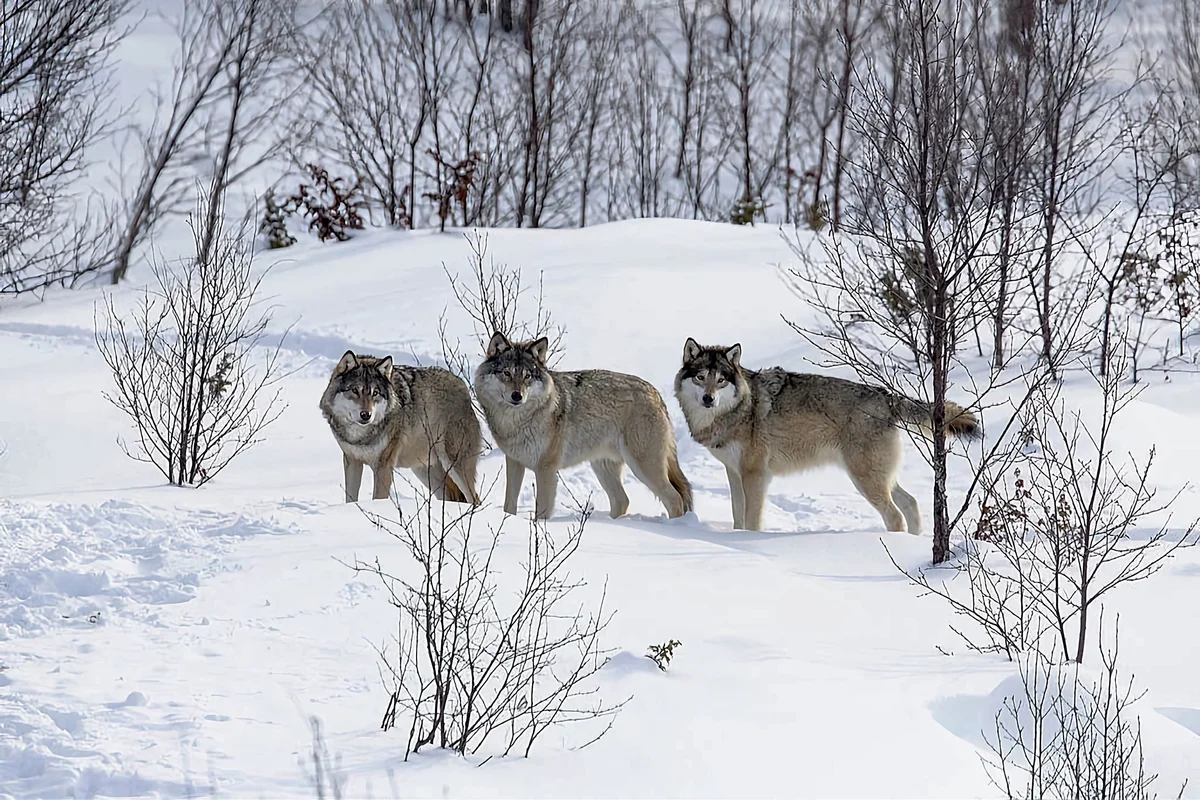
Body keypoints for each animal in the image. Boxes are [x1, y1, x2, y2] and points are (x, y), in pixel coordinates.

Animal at [324, 347, 487, 503]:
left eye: (375, 393)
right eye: (354, 390)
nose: (366, 415)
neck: (360, 437)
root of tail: (464, 386)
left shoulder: (383, 465)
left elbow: (378, 498)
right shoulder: (352, 461)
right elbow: (350, 499)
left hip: (453, 465)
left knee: (475, 499)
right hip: (427, 472)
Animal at [470, 335, 696, 522]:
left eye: (527, 376)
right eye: (506, 373)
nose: (517, 396)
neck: (517, 421)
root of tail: (655, 392)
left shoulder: (546, 469)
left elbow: (541, 511)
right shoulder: (514, 461)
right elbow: (509, 505)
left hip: (643, 466)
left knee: (675, 499)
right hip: (603, 466)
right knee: (622, 500)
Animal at [672, 335, 979, 532]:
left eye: (721, 380)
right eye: (701, 377)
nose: (708, 399)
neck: (738, 410)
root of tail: (887, 397)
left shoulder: (755, 475)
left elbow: (751, 520)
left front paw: (748, 542)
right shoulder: (734, 473)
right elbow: (738, 516)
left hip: (865, 480)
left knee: (895, 515)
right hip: (878, 477)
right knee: (911, 503)